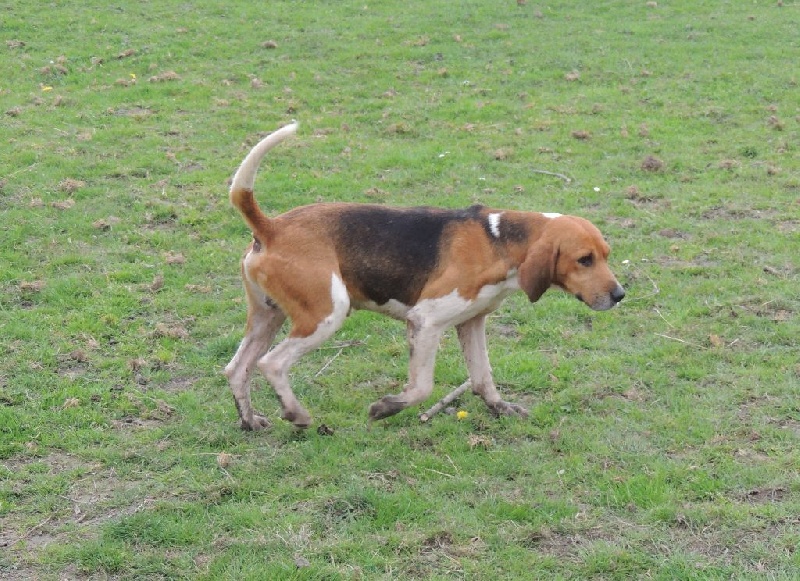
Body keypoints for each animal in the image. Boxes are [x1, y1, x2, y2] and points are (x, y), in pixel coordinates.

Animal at [223, 121, 624, 430]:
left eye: (606, 255)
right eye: (584, 260)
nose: (620, 295)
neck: (499, 242)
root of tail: (272, 227)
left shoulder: (472, 322)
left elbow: (483, 378)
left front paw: (500, 407)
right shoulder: (425, 321)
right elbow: (422, 388)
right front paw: (385, 408)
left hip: (268, 317)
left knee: (236, 369)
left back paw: (249, 421)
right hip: (326, 314)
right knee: (272, 364)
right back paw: (297, 414)